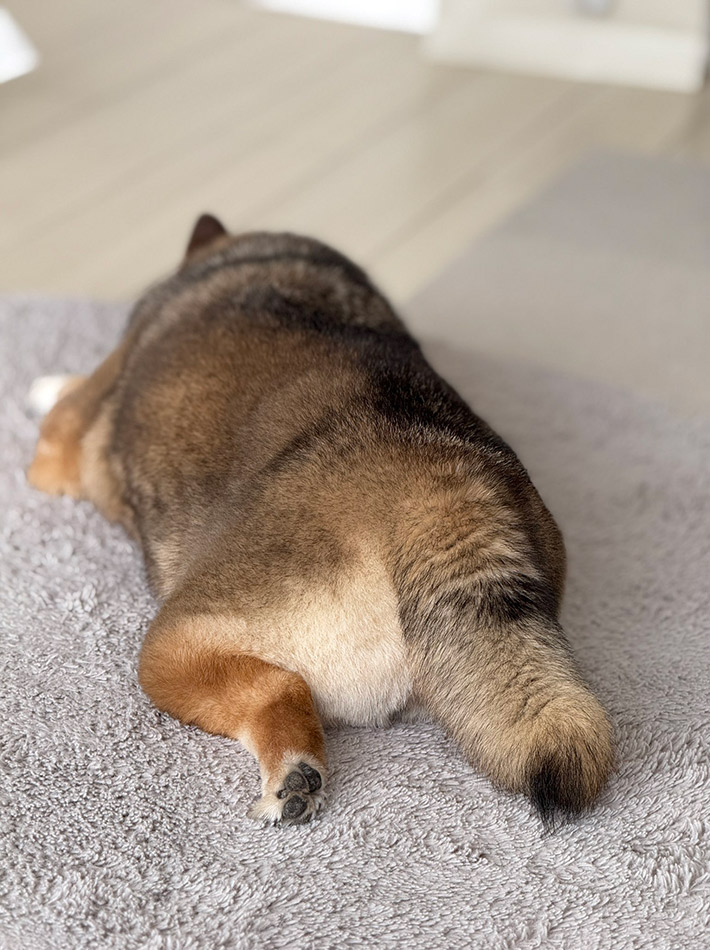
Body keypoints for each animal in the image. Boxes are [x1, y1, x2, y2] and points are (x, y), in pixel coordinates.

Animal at [27, 216, 616, 824]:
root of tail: (437, 488)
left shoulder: (60, 444)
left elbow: (62, 404)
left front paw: (45, 384)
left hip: (172, 647)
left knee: (279, 688)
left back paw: (293, 773)